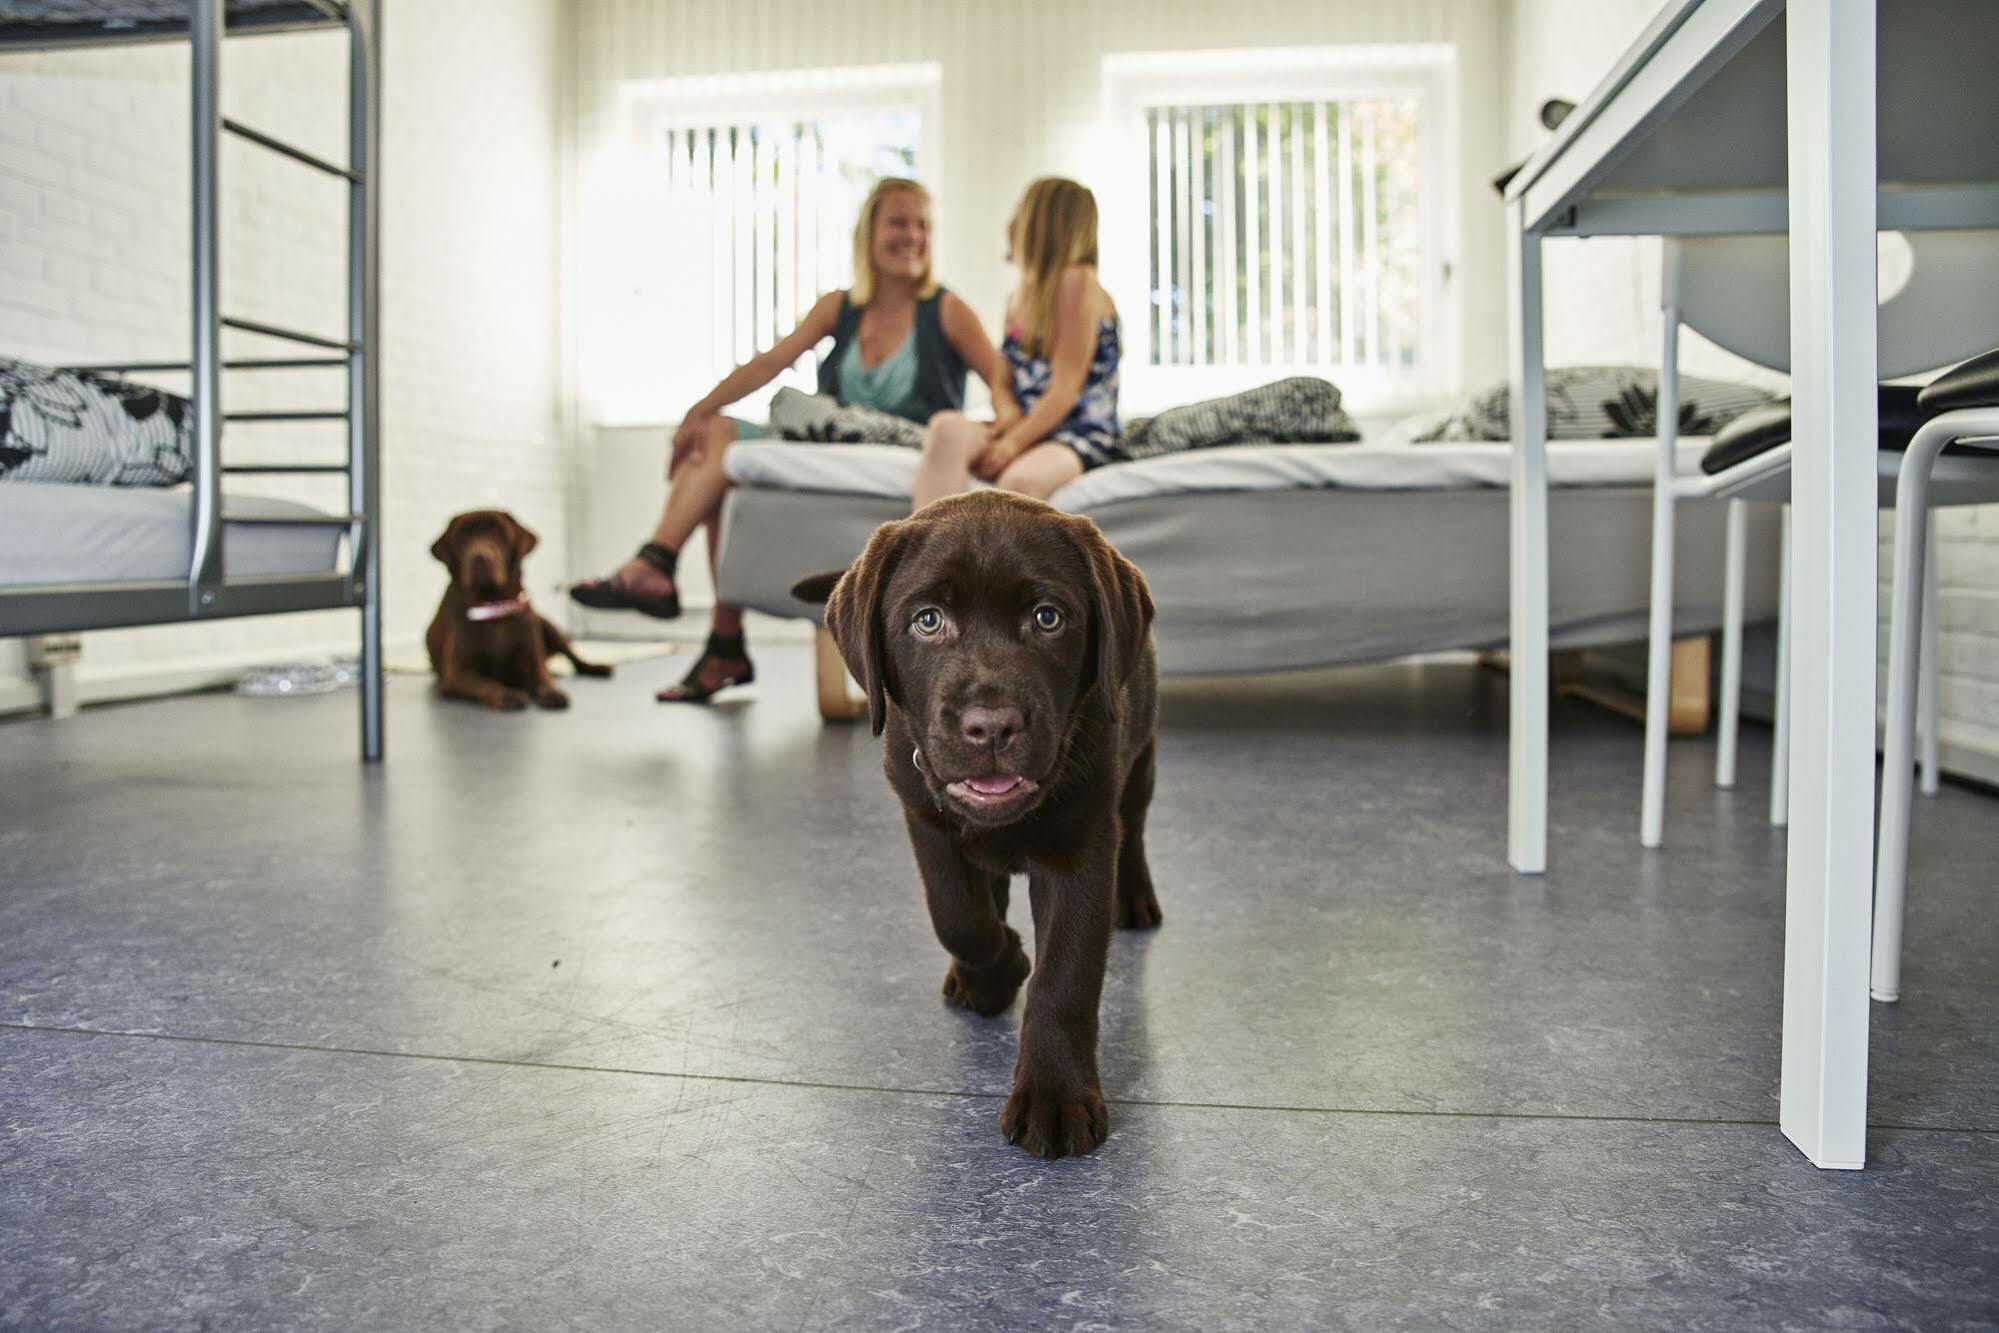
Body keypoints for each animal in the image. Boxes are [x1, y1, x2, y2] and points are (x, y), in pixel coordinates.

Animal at [421, 507, 607, 715]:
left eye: (500, 533)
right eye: (462, 535)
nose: (480, 557)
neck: (493, 603)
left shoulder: (531, 658)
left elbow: (541, 677)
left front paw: (551, 692)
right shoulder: (456, 674)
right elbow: (486, 683)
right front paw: (507, 694)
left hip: (547, 626)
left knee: (574, 657)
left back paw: (596, 668)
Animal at [803, 489, 1167, 1159]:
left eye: (1048, 618)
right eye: (927, 621)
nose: (991, 726)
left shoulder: (1083, 844)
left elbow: (1066, 975)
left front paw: (1055, 1097)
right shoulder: (926, 819)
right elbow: (957, 916)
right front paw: (1000, 972)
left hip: (1141, 758)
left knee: (1135, 826)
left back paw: (1133, 898)